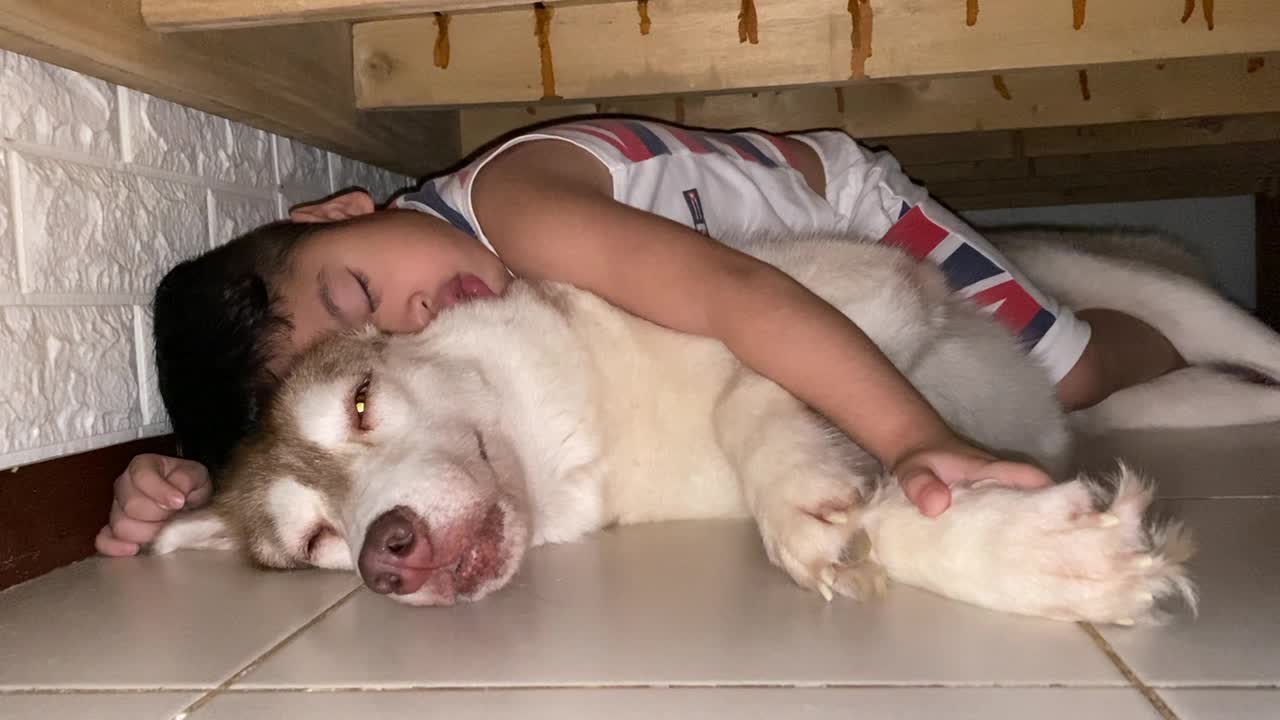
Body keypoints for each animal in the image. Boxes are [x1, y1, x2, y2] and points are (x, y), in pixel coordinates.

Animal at [149, 228, 1280, 622]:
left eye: (361, 404)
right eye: (315, 543)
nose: (387, 553)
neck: (602, 423)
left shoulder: (855, 292)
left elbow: (755, 386)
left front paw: (790, 494)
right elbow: (890, 506)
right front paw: (1028, 557)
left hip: (1135, 300)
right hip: (1161, 393)